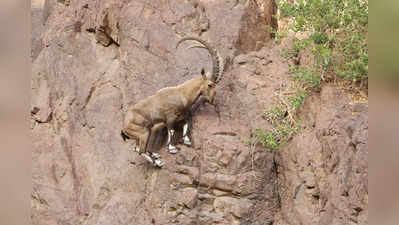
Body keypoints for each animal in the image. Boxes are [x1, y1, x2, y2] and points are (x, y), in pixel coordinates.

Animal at [120, 37, 223, 167]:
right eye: (210, 85)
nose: (212, 100)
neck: (182, 93)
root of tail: (124, 127)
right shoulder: (169, 117)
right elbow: (171, 130)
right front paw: (172, 148)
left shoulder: (181, 115)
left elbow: (186, 123)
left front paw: (187, 141)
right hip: (143, 132)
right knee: (140, 150)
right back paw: (158, 162)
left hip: (143, 133)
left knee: (137, 148)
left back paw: (155, 155)